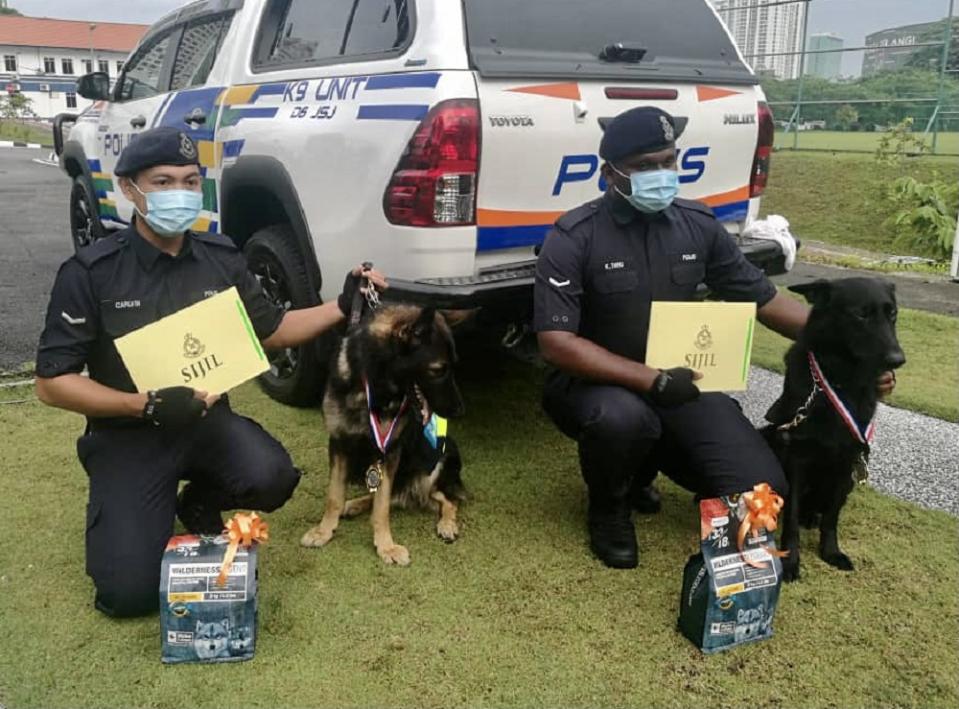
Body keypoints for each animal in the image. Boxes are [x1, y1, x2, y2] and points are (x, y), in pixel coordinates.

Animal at [300, 304, 464, 564]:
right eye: (438, 370)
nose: (460, 410)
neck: (373, 385)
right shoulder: (339, 444)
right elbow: (334, 495)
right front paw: (324, 531)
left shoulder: (390, 452)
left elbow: (382, 505)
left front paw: (386, 546)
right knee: (397, 495)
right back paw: (353, 505)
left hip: (437, 463)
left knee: (445, 499)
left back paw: (447, 524)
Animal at [760, 276, 904, 580]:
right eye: (861, 314)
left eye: (893, 314)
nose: (898, 360)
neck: (840, 379)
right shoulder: (797, 459)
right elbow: (791, 519)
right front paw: (790, 561)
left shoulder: (848, 462)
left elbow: (832, 517)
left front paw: (830, 552)